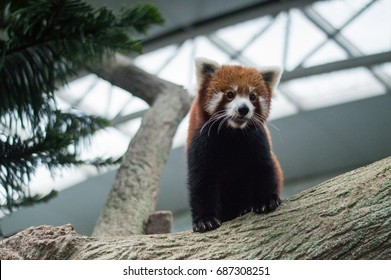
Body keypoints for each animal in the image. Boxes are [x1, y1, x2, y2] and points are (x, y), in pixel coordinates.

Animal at [188, 58, 284, 233]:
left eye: (252, 96)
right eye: (230, 94)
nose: (243, 109)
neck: (232, 133)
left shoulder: (257, 139)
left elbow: (263, 168)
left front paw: (266, 201)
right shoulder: (200, 141)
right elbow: (201, 180)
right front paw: (205, 220)